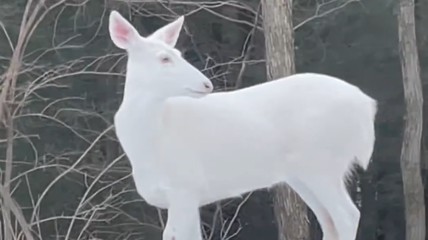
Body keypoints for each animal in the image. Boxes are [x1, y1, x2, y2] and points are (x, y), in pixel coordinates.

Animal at [108, 10, 376, 240]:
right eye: (164, 58)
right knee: (329, 221)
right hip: (303, 173)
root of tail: (366, 105)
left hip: (322, 162)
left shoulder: (185, 186)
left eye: (179, 54)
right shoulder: (189, 195)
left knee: (347, 215)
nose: (206, 84)